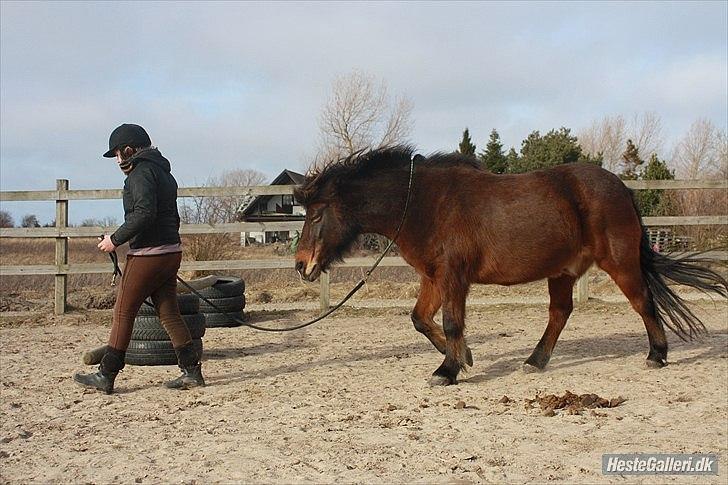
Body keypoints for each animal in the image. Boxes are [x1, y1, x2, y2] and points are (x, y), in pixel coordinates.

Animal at [292, 147, 724, 386]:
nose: (301, 264)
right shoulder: (434, 277)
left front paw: (448, 370)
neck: (424, 204)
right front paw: (463, 358)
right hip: (563, 271)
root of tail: (620, 187)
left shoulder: (453, 277)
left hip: (619, 262)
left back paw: (657, 355)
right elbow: (420, 319)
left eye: (316, 214)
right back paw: (535, 361)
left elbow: (451, 322)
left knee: (643, 302)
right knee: (560, 312)